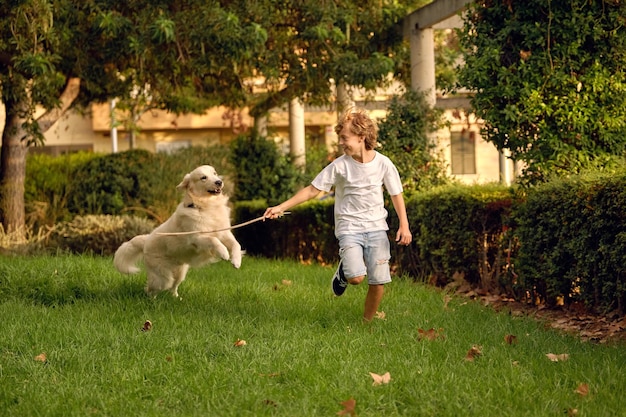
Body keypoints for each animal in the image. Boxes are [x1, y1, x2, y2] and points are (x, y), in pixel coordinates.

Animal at [112, 163, 241, 296]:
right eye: (203, 177)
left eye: (215, 173)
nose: (219, 182)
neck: (204, 207)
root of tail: (146, 241)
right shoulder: (196, 238)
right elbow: (214, 240)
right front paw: (224, 253)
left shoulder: (224, 233)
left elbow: (236, 244)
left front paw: (236, 261)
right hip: (162, 278)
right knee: (151, 289)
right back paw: (151, 299)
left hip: (180, 272)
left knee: (173, 287)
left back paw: (176, 297)